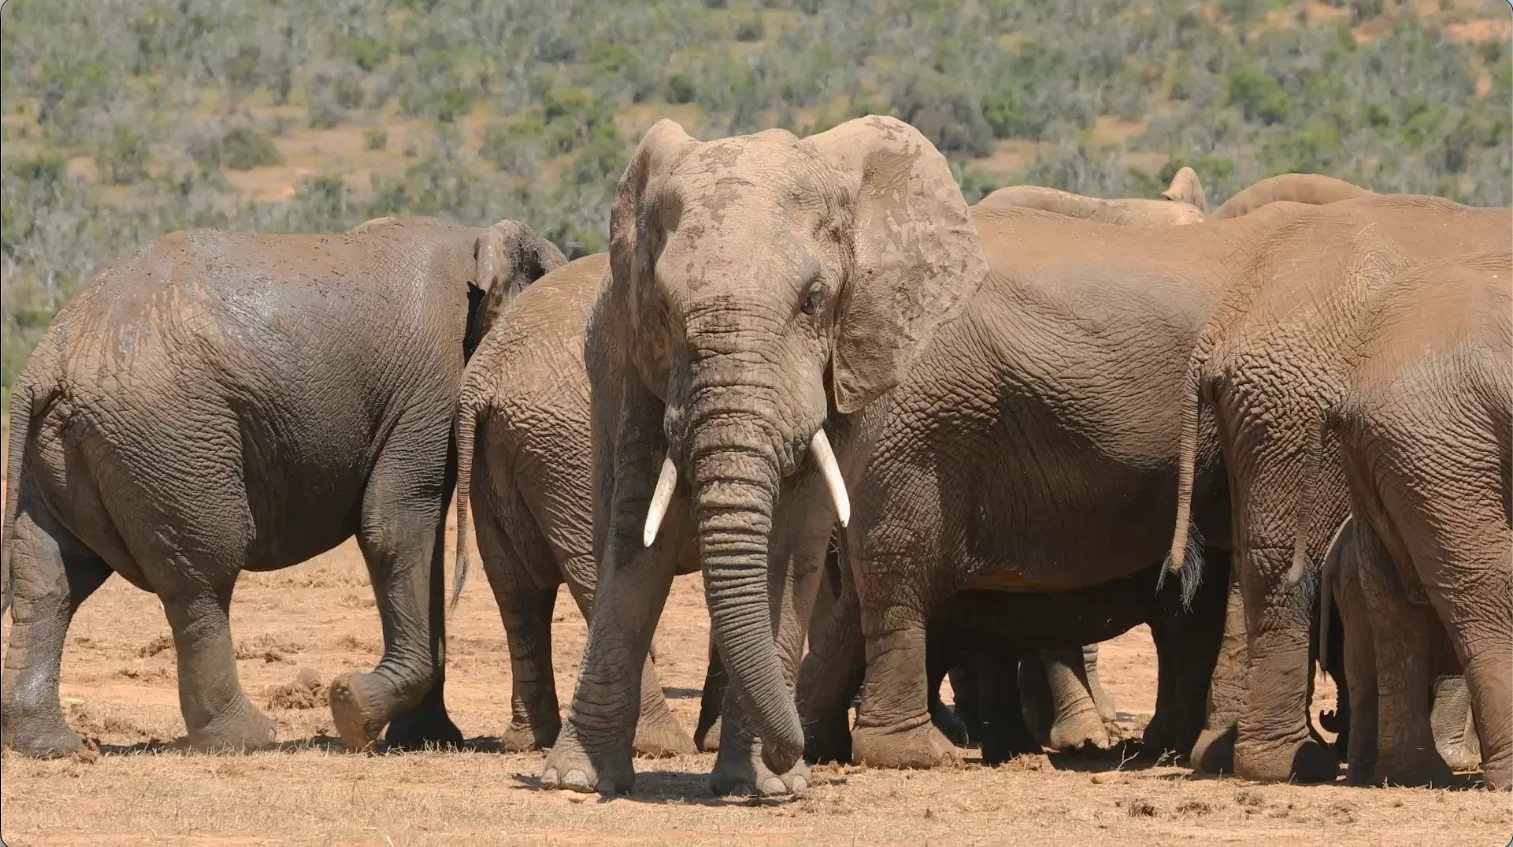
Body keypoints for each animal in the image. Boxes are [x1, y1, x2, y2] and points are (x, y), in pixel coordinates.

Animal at [0, 215, 564, 757]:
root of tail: (45, 363)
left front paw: (424, 739)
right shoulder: (431, 384)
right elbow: (396, 526)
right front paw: (353, 709)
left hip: (63, 451)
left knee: (50, 577)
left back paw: (50, 746)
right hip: (168, 437)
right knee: (201, 576)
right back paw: (244, 740)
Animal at [535, 116, 990, 797]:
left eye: (814, 300)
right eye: (663, 309)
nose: (798, 754)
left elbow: (795, 537)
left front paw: (768, 786)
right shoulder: (641, 367)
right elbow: (636, 537)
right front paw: (575, 780)